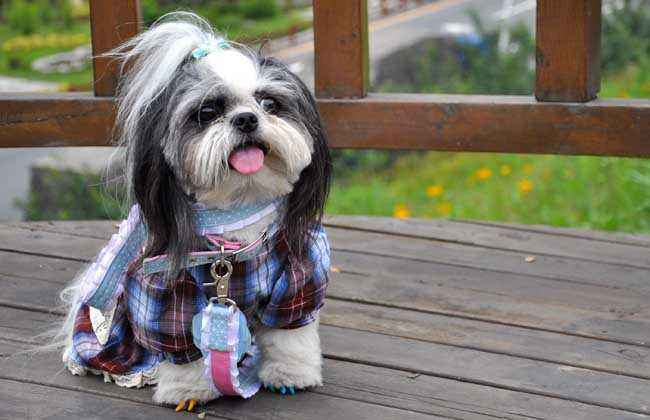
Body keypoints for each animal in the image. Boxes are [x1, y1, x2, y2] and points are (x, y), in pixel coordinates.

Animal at [58, 11, 332, 408]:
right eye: (207, 113)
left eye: (269, 103)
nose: (246, 119)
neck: (235, 213)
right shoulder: (163, 289)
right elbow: (179, 337)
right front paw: (188, 391)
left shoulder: (300, 269)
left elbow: (289, 331)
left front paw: (290, 374)